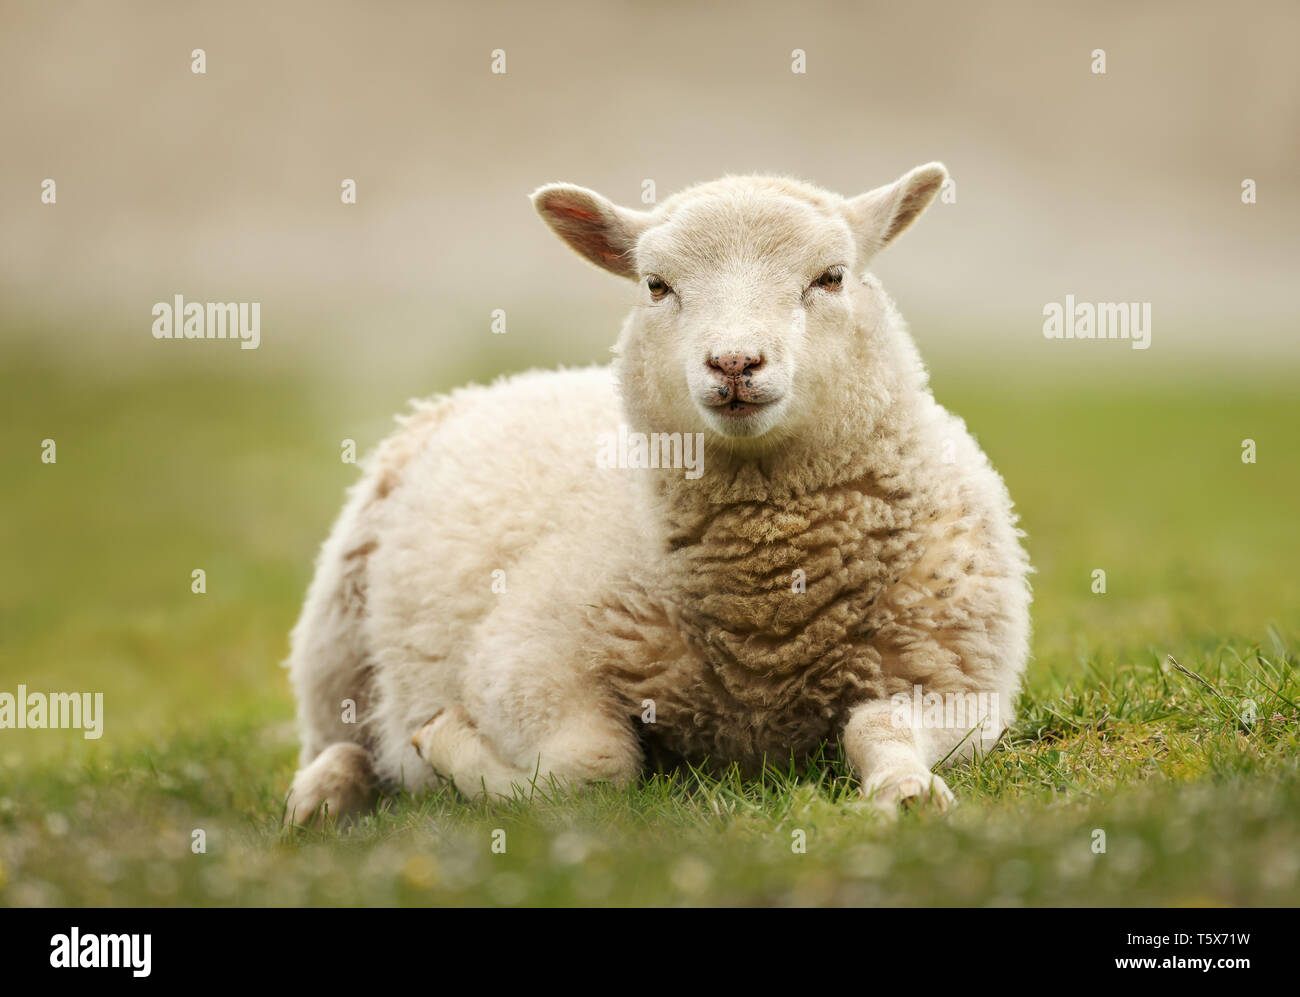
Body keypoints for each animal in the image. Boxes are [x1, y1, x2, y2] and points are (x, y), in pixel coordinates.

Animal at [282, 161, 1024, 821]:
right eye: (657, 285)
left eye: (831, 277)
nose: (734, 362)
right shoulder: (521, 664)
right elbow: (597, 762)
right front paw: (443, 741)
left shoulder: (959, 684)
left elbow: (878, 727)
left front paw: (909, 790)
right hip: (334, 633)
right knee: (337, 739)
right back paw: (322, 797)